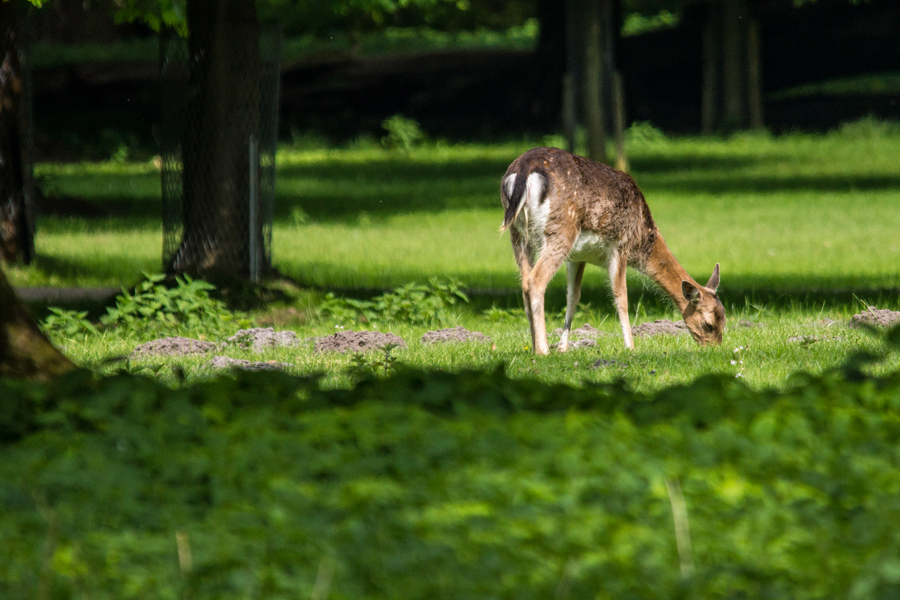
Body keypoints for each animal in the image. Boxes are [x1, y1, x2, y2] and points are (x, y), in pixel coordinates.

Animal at [500, 148, 724, 354]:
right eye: (708, 324)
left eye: (724, 321)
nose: (714, 349)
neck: (642, 239)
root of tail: (523, 170)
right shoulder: (620, 245)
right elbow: (621, 297)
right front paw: (631, 346)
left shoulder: (577, 257)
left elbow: (573, 297)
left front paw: (563, 347)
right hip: (560, 229)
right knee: (535, 280)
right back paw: (543, 350)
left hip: (518, 234)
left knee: (524, 283)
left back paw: (533, 346)